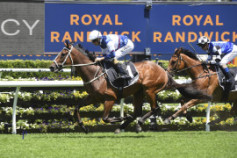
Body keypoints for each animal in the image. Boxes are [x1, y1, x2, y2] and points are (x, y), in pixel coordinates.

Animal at [49, 42, 208, 133]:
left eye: (63, 53)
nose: (51, 67)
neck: (95, 72)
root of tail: (163, 70)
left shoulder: (110, 98)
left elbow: (105, 118)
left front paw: (122, 117)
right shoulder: (93, 97)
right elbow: (76, 109)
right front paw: (84, 127)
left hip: (150, 90)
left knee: (155, 108)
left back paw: (137, 124)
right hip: (139, 92)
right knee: (139, 110)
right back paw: (124, 126)